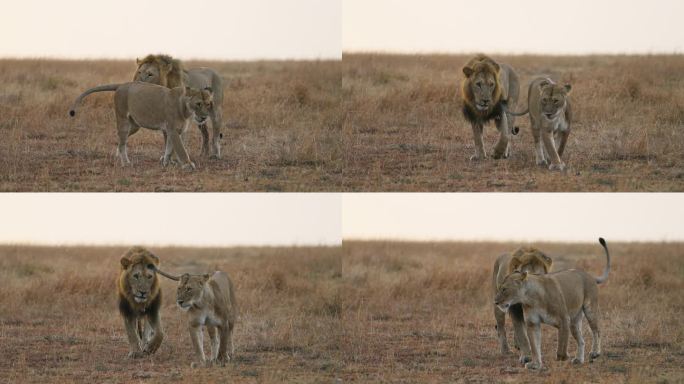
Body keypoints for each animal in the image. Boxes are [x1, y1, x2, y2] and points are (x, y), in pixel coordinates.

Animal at [69, 82, 214, 170]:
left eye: (207, 104)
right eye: (198, 104)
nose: (204, 117)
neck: (186, 111)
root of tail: (121, 84)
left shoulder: (179, 131)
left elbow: (170, 148)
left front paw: (166, 163)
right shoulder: (172, 130)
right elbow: (181, 149)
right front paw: (187, 165)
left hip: (134, 125)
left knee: (121, 141)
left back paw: (118, 155)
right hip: (123, 121)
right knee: (122, 142)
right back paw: (126, 163)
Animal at [494, 238, 612, 370]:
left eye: (504, 289)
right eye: (501, 288)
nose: (495, 301)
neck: (531, 298)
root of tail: (588, 274)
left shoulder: (563, 319)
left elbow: (561, 345)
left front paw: (562, 358)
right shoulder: (532, 322)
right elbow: (532, 343)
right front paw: (534, 363)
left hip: (589, 310)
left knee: (597, 330)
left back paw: (595, 352)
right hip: (574, 321)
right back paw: (578, 360)